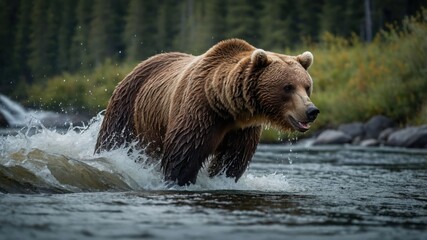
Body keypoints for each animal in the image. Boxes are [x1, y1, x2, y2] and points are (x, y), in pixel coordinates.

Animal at [95, 39, 320, 186]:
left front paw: (221, 178)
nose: (312, 110)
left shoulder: (242, 129)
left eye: (307, 86)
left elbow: (232, 160)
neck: (226, 105)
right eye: (288, 87)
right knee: (112, 138)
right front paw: (179, 179)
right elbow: (183, 154)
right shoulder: (200, 113)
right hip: (127, 109)